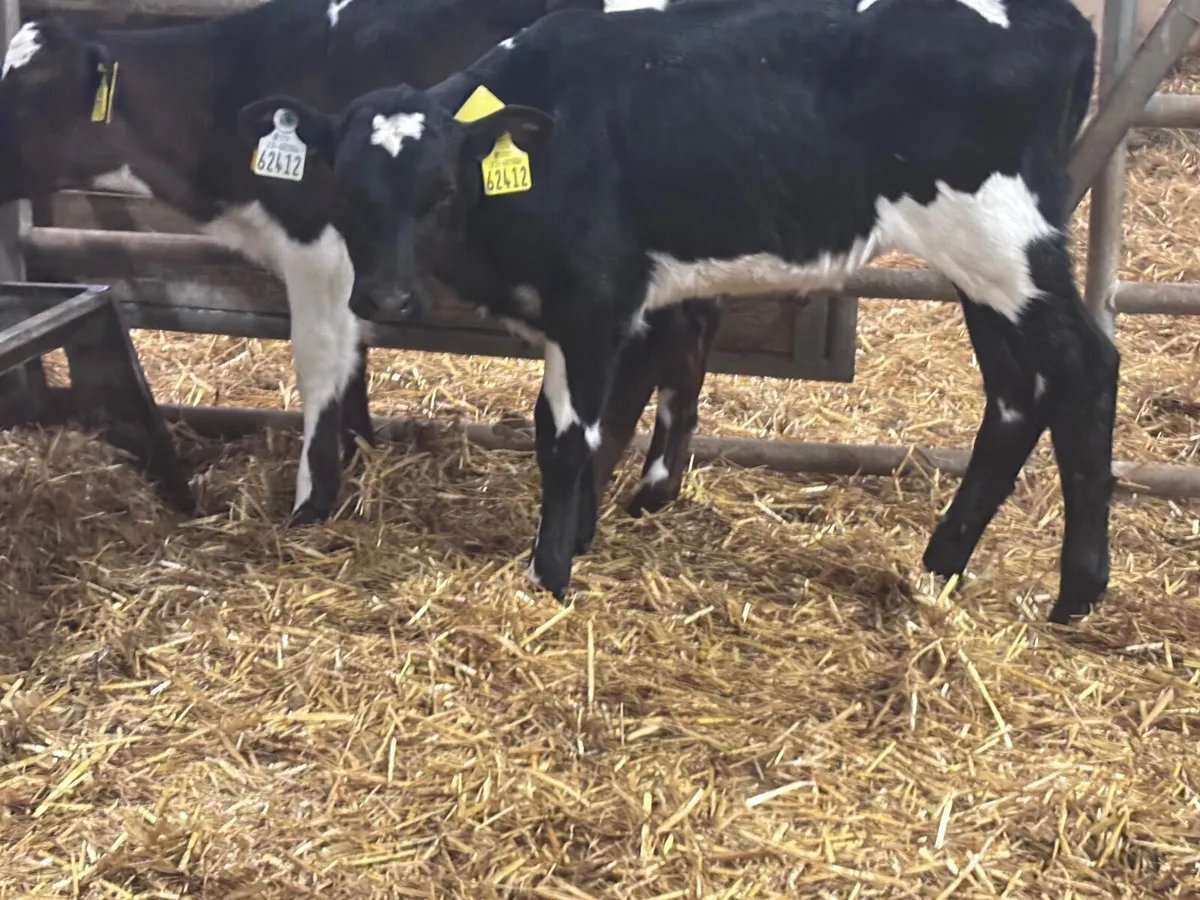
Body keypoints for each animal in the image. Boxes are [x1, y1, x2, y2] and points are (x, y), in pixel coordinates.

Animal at [0, 0, 716, 526]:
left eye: (29, 91)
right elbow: (355, 356)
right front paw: (358, 448)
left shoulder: (317, 243)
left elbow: (319, 357)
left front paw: (311, 501)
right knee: (686, 334)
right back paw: (652, 488)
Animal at [245, 0, 1119, 624]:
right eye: (345, 189)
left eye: (440, 191)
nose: (384, 298)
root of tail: (1061, 19)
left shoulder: (591, 303)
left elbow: (565, 440)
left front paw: (548, 574)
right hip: (983, 268)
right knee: (1016, 394)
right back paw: (943, 562)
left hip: (1005, 240)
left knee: (1087, 366)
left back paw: (1076, 593)